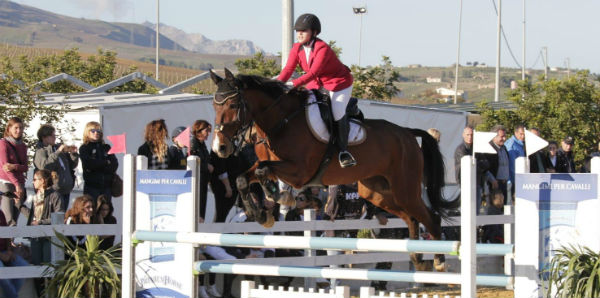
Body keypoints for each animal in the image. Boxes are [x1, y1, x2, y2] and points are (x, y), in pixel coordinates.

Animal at [211, 68, 460, 272]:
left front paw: (277, 197)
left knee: (431, 218)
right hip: (378, 193)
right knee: (411, 219)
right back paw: (418, 259)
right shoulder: (274, 167)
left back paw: (438, 260)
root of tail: (407, 133)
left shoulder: (298, 172)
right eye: (214, 105)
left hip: (404, 189)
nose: (219, 147)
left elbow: (263, 172)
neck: (281, 122)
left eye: (233, 105)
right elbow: (244, 178)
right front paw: (262, 214)